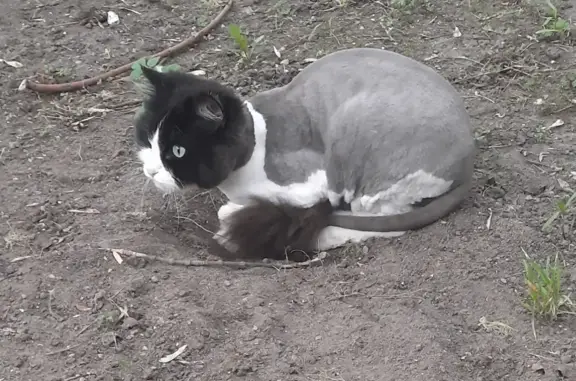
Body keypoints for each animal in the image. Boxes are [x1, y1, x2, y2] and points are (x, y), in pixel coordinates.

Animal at [136, 46, 476, 262]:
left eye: (178, 151)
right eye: (146, 138)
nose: (150, 171)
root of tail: (468, 163)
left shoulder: (311, 184)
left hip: (354, 137)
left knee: (386, 221)